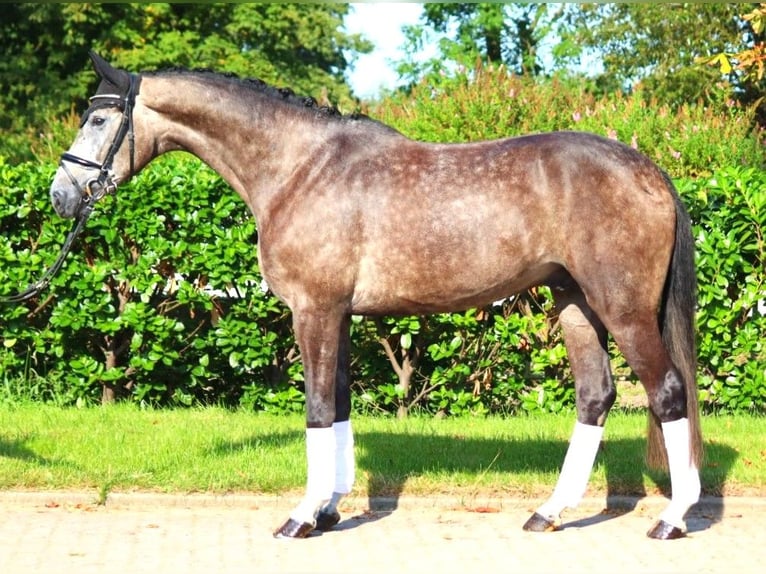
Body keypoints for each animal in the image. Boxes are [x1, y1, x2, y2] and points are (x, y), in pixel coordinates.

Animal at [51, 51, 704, 544]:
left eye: (98, 120)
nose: (61, 195)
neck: (300, 168)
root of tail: (647, 169)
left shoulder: (313, 310)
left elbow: (317, 407)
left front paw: (300, 517)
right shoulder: (337, 315)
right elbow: (339, 403)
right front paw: (329, 510)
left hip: (622, 310)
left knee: (668, 392)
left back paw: (672, 519)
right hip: (574, 303)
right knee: (596, 395)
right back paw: (548, 513)